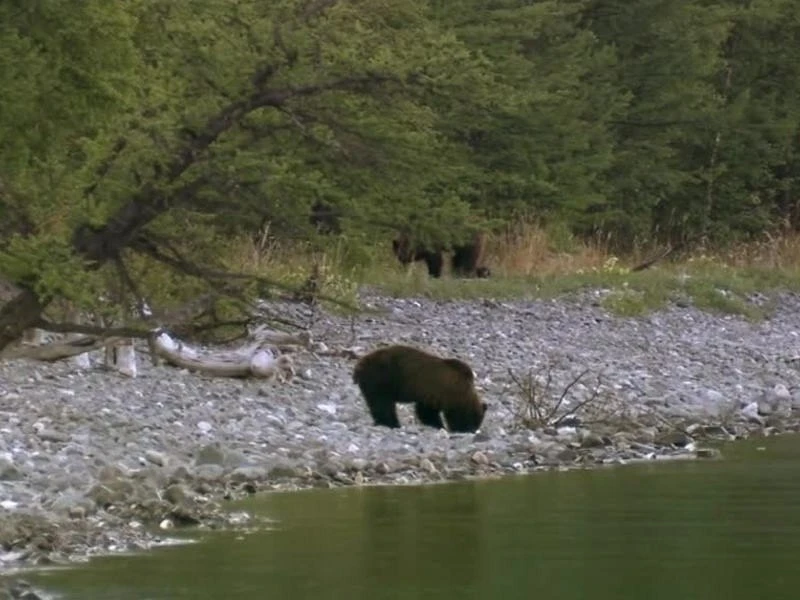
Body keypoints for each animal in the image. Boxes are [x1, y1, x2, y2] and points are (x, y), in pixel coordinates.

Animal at [352, 344, 487, 432]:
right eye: (475, 421)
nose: (472, 430)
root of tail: (359, 364)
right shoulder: (439, 392)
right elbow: (428, 412)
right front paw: (441, 425)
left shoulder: (430, 395)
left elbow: (425, 411)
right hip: (382, 377)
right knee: (382, 403)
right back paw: (392, 423)